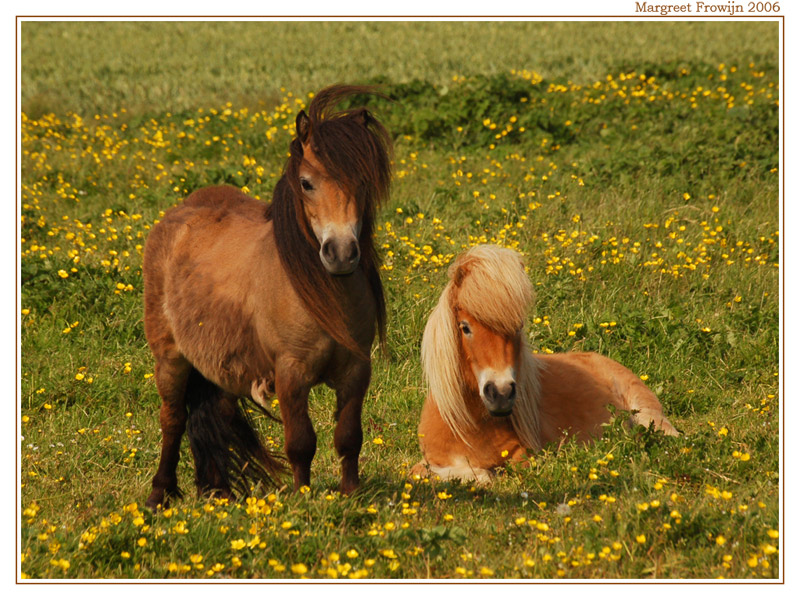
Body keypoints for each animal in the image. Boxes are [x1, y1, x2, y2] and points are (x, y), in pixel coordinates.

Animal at [142, 85, 392, 510]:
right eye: (307, 183)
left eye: (363, 182)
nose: (341, 253)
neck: (321, 294)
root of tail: (177, 215)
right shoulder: (290, 374)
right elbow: (301, 443)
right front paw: (303, 497)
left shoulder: (356, 372)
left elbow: (348, 437)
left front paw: (351, 494)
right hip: (170, 359)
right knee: (172, 419)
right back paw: (160, 494)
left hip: (220, 365)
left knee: (216, 414)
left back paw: (218, 493)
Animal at [411, 244, 678, 483]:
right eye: (465, 327)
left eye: (518, 327)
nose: (501, 393)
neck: (468, 426)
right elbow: (425, 471)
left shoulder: (526, 456)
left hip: (650, 419)